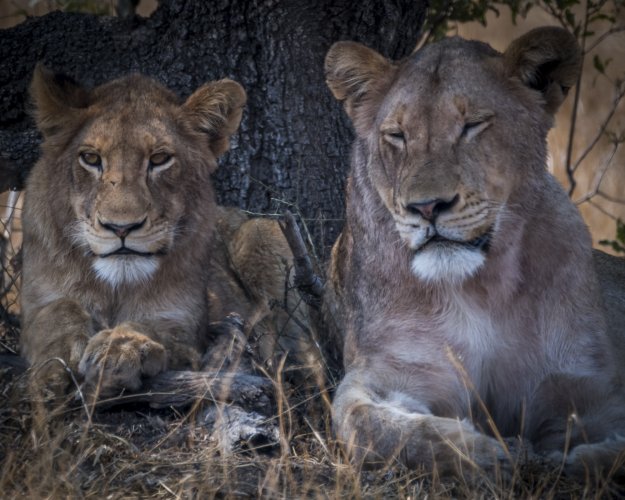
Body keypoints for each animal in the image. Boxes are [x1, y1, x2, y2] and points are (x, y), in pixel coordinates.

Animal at [324, 27, 624, 480]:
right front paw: (488, 452)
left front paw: (581, 461)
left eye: (472, 126)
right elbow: (374, 427)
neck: (481, 288)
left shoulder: (580, 381)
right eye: (397, 135)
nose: (427, 207)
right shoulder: (393, 372)